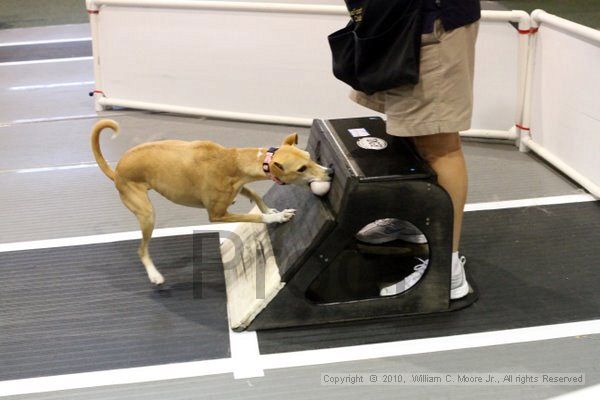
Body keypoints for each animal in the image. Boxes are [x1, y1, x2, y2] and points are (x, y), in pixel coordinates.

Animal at [92, 119, 332, 284]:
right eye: (301, 169)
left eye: (310, 157)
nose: (330, 172)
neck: (233, 161)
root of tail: (117, 171)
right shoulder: (217, 215)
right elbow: (256, 217)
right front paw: (278, 217)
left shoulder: (238, 188)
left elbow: (254, 194)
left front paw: (270, 209)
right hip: (147, 215)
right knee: (142, 250)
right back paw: (155, 275)